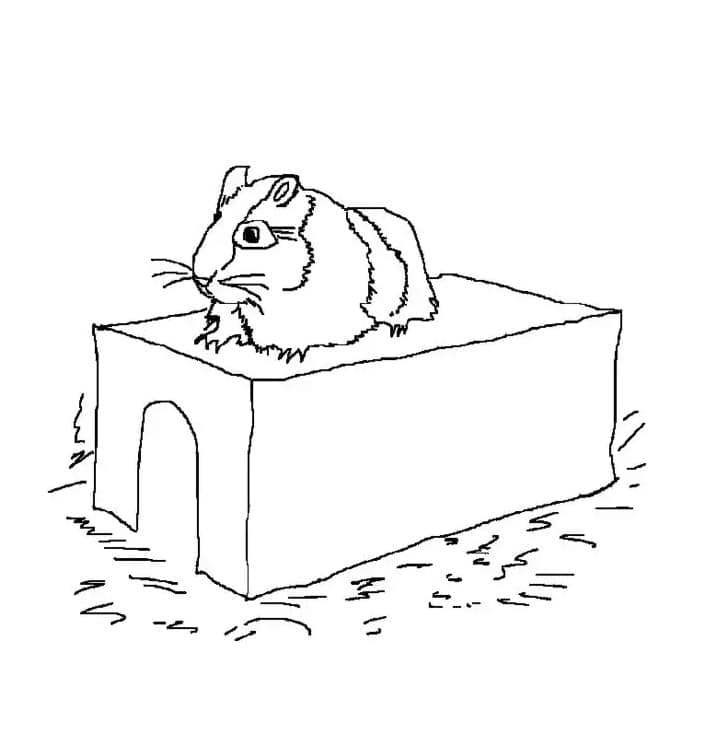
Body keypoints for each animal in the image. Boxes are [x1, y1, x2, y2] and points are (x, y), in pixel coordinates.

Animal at [190, 165, 439, 361]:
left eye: (251, 234)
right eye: (215, 219)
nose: (201, 279)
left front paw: (287, 354)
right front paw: (210, 340)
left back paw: (398, 326)